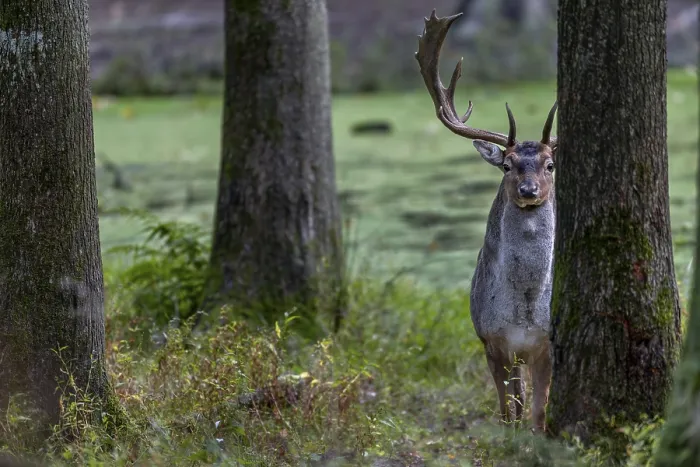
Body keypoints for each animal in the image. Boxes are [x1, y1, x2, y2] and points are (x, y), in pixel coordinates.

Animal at [415, 10, 558, 431]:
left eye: (550, 164)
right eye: (507, 165)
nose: (528, 189)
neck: (524, 312)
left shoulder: (545, 344)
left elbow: (538, 411)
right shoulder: (492, 341)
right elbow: (509, 410)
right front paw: (511, 436)